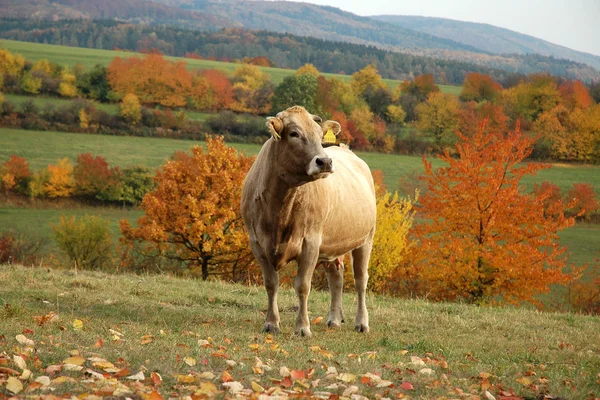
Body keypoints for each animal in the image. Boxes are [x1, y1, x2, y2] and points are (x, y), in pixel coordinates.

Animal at [239, 104, 376, 336]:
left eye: (321, 136)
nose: (325, 161)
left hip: (365, 239)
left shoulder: (310, 242)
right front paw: (271, 323)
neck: (280, 205)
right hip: (333, 244)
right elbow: (271, 284)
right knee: (336, 278)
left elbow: (302, 285)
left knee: (360, 281)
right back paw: (334, 319)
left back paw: (362, 322)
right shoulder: (257, 243)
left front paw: (302, 327)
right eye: (294, 133)